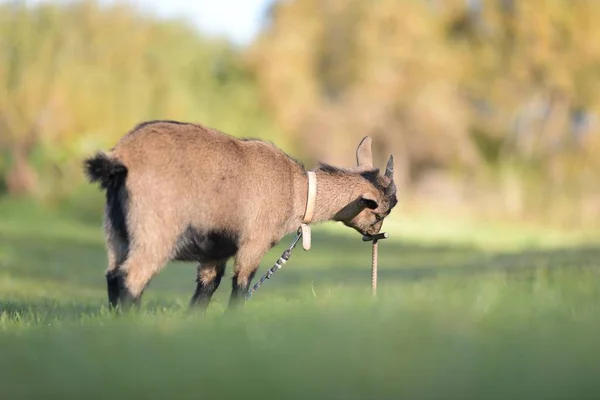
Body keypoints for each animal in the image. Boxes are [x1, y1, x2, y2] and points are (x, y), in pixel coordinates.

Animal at [83, 120, 394, 310]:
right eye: (382, 210)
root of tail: (120, 158)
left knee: (113, 274)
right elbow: (241, 286)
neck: (298, 189)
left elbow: (207, 288)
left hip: (116, 229)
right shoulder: (253, 243)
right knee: (132, 278)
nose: (376, 236)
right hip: (156, 229)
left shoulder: (215, 249)